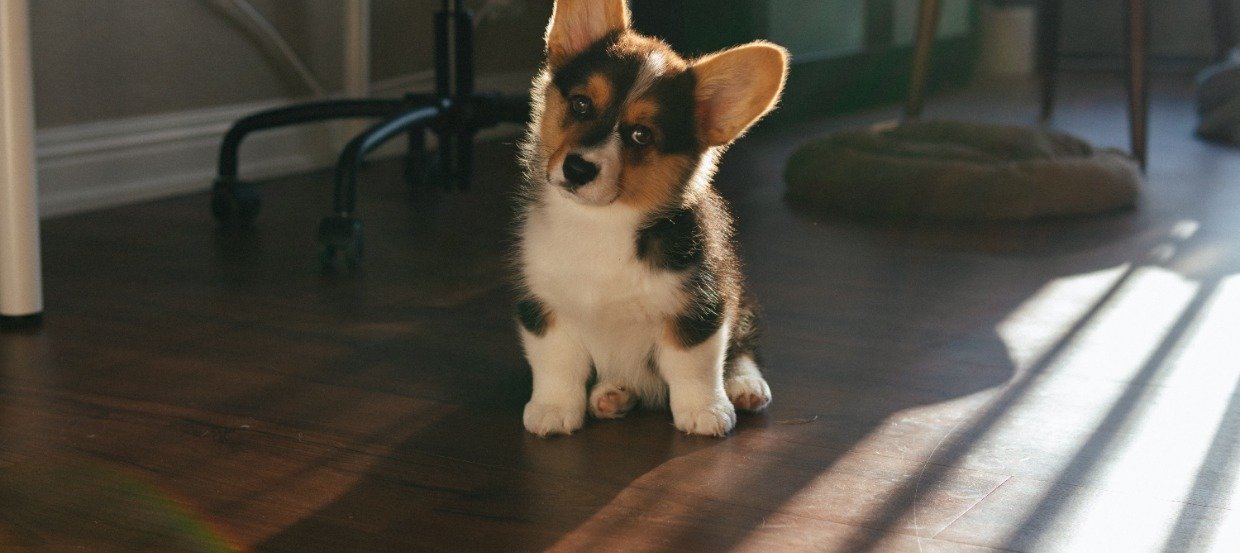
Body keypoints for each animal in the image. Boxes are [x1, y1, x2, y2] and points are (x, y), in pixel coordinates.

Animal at [513, 0, 783, 436]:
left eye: (641, 135)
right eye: (581, 104)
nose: (578, 169)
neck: (600, 224)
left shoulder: (700, 306)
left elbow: (694, 366)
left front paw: (706, 411)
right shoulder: (544, 305)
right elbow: (556, 364)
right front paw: (552, 408)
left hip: (741, 299)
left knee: (743, 348)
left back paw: (745, 386)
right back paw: (611, 395)